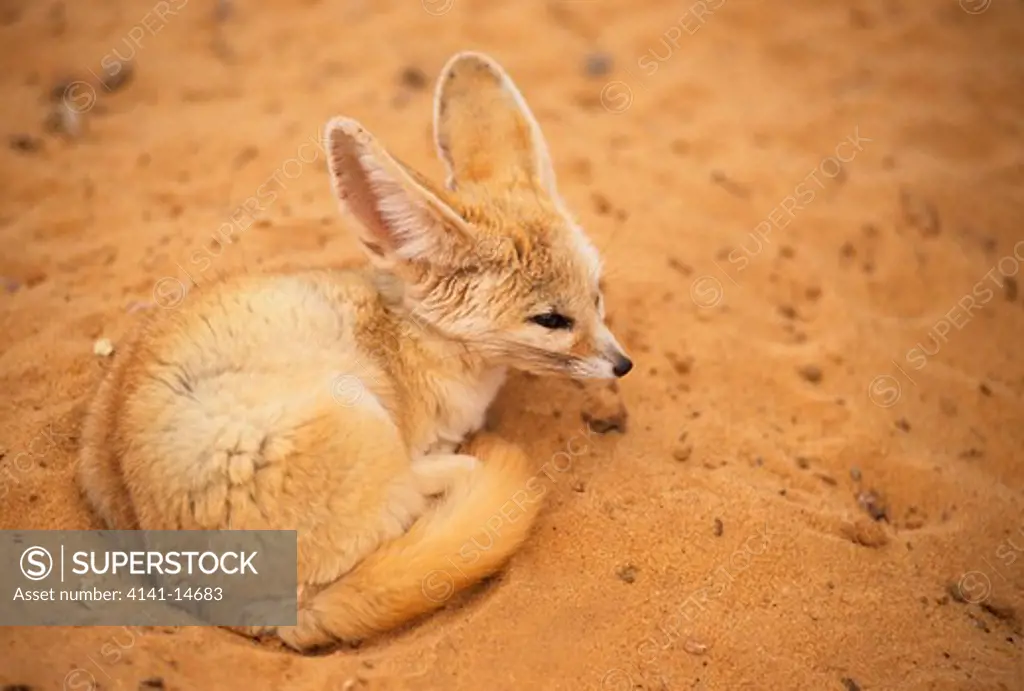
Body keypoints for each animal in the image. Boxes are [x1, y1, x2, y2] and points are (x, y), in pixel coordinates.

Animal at [75, 51, 630, 651]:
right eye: (551, 320)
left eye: (597, 295)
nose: (623, 364)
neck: (411, 334)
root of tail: (274, 614)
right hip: (356, 411)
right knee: (418, 493)